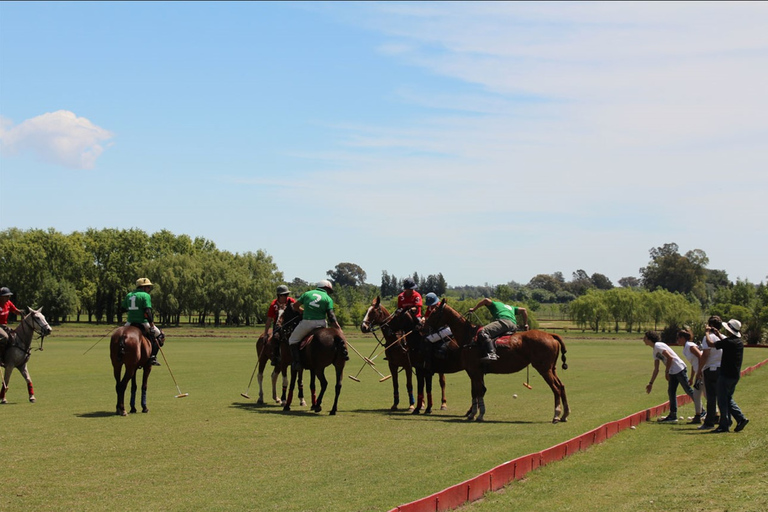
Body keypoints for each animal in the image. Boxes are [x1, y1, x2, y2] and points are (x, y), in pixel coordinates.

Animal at [424, 300, 568, 424]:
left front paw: (479, 415)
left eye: (433, 312)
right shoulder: (473, 371)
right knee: (561, 386)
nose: (424, 327)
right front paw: (473, 414)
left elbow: (479, 391)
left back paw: (556, 415)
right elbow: (476, 391)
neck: (468, 336)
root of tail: (551, 335)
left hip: (543, 368)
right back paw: (565, 415)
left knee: (556, 388)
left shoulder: (475, 370)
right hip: (551, 368)